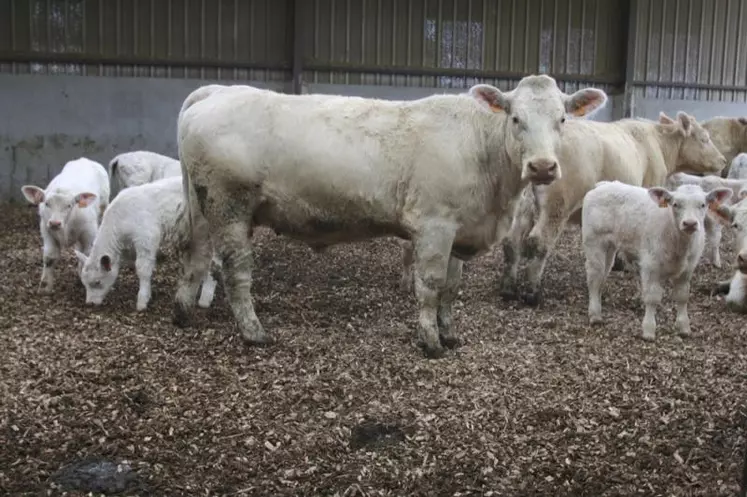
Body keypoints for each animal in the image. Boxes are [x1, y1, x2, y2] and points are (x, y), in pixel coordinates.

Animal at [21, 157, 111, 292]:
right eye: (46, 203)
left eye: (69, 205)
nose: (55, 223)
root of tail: (85, 159)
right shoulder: (46, 230)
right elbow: (49, 257)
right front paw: (45, 287)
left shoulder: (89, 233)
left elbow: (87, 255)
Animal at [75, 176, 218, 312]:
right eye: (84, 282)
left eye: (97, 282)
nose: (90, 303)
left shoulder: (146, 238)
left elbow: (143, 269)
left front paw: (142, 301)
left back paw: (205, 298)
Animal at [174, 75, 608, 358]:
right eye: (516, 119)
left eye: (562, 119)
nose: (542, 167)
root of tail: (219, 90)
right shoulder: (434, 225)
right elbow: (430, 285)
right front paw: (430, 341)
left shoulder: (459, 228)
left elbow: (451, 287)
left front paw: (450, 334)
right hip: (230, 206)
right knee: (237, 271)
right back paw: (254, 332)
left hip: (204, 206)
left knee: (195, 256)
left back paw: (182, 312)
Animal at [500, 112, 728, 304]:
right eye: (704, 138)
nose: (723, 160)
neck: (658, 143)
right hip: (556, 206)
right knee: (539, 241)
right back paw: (532, 293)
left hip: (521, 205)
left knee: (511, 241)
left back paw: (509, 288)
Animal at [580, 181, 732, 340]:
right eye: (675, 204)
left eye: (702, 204)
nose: (690, 223)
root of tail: (603, 184)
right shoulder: (650, 265)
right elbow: (652, 297)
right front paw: (648, 330)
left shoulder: (688, 269)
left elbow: (683, 296)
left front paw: (684, 327)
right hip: (594, 242)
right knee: (594, 277)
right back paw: (595, 314)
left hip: (610, 247)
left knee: (603, 274)